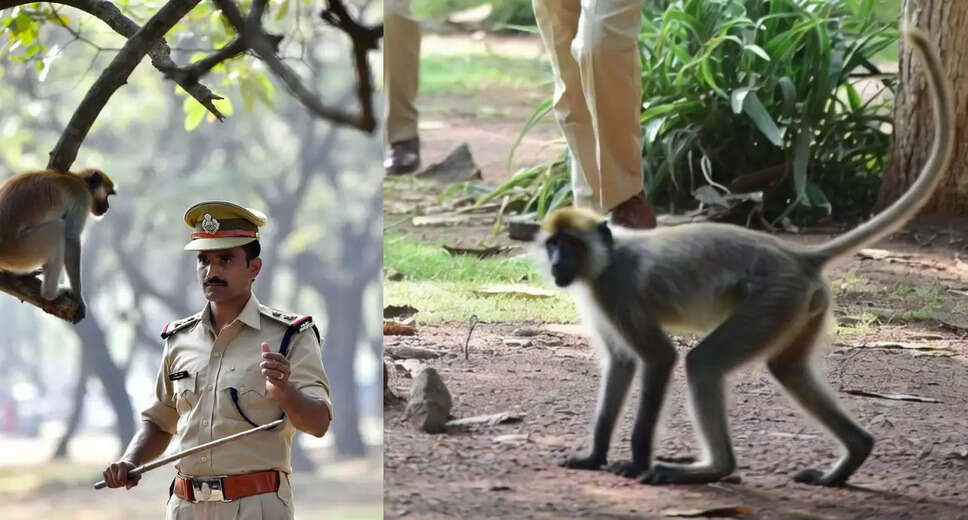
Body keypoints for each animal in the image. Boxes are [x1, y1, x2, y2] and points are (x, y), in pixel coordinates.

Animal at [0, 168, 116, 317]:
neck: (78, 179)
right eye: (107, 195)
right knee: (58, 229)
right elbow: (71, 238)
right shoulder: (83, 197)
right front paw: (78, 296)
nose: (107, 207)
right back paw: (50, 294)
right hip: (18, 248)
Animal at [536, 27, 952, 488]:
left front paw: (638, 461)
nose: (557, 264)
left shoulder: (616, 289)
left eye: (571, 245)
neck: (606, 258)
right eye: (553, 245)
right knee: (787, 368)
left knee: (703, 364)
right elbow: (622, 364)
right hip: (800, 305)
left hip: (775, 299)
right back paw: (851, 455)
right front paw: (595, 454)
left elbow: (659, 359)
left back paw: (714, 468)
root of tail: (797, 256)